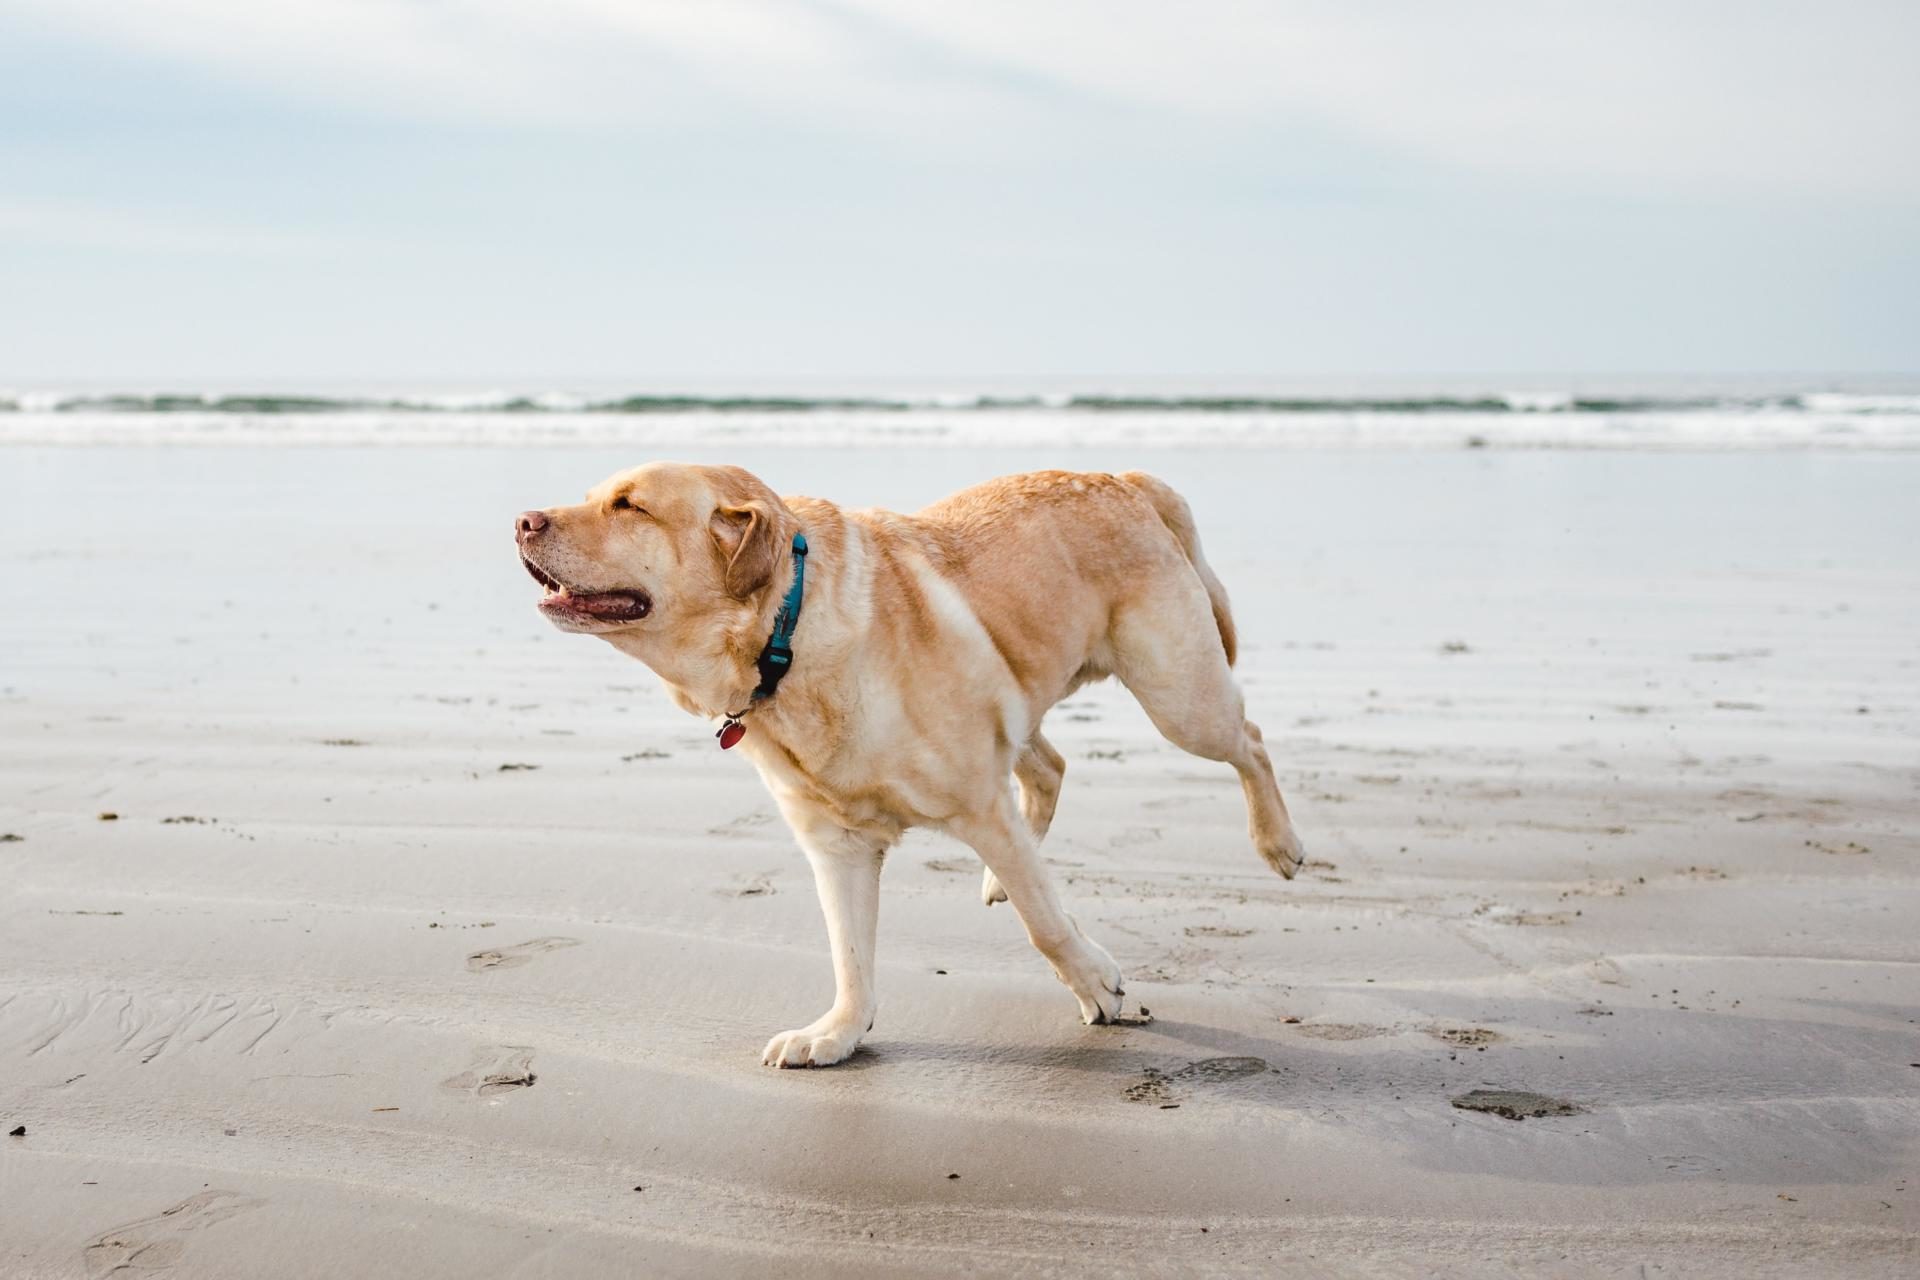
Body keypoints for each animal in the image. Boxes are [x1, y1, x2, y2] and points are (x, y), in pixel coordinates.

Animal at [514, 466, 1305, 1066]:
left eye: (629, 505)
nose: (522, 520)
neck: (787, 636)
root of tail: (1128, 479)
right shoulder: (836, 846)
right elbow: (849, 956)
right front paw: (838, 1033)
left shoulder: (979, 805)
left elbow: (1045, 926)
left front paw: (1096, 985)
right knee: (1049, 768)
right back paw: (1000, 878)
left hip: (1180, 697)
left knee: (1251, 740)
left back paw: (1279, 843)